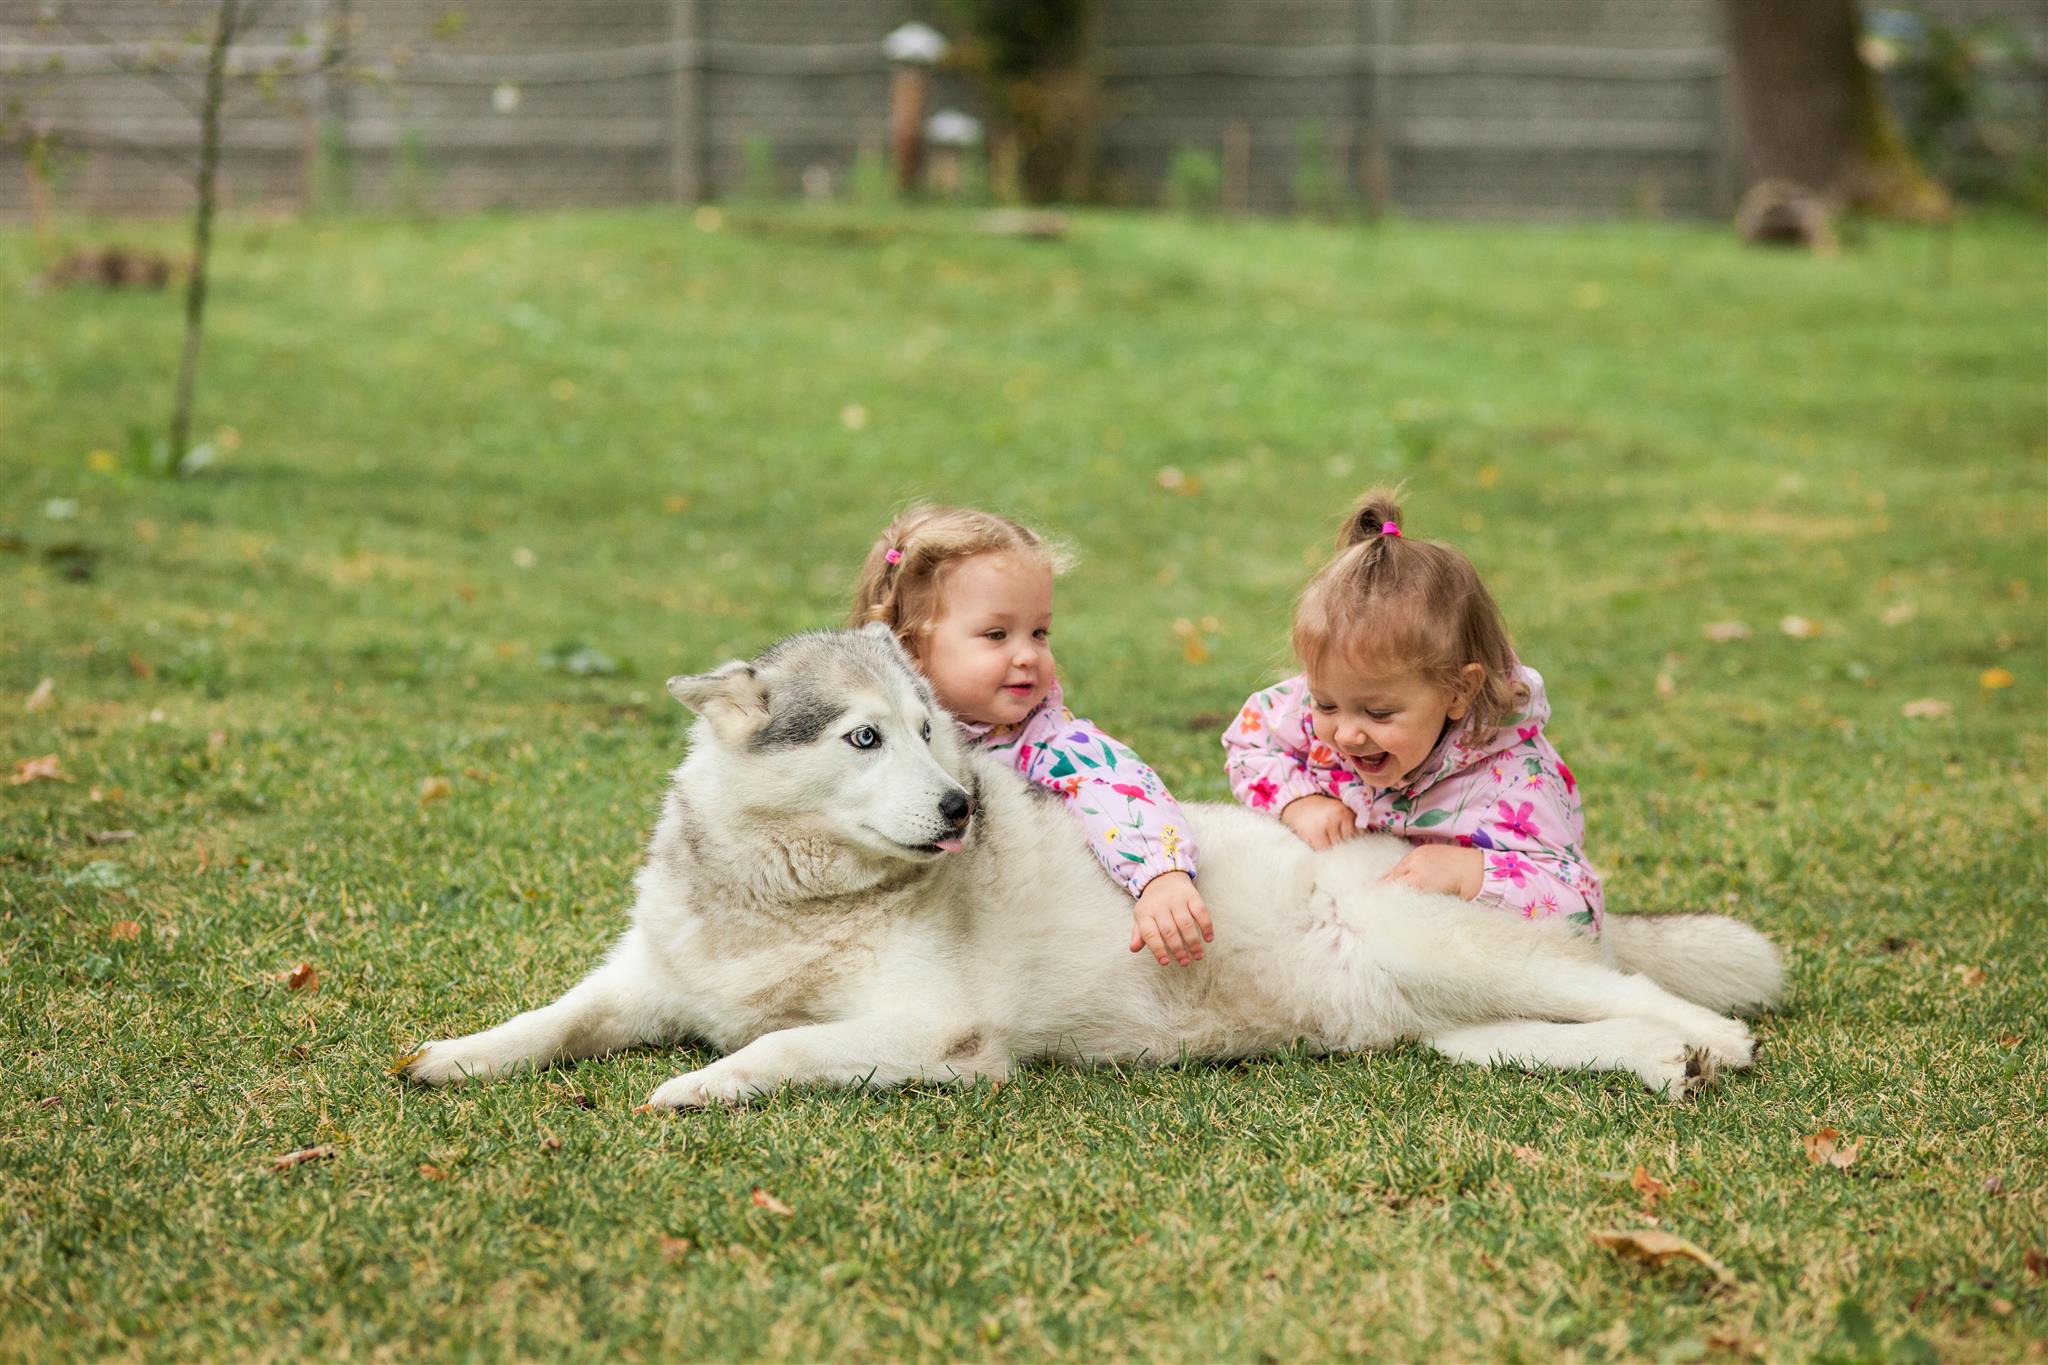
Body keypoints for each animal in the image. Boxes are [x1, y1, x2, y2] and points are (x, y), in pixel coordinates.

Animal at [399, 626, 1777, 1105]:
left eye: (935, 732)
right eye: (864, 737)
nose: (963, 806)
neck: (783, 902)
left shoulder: (933, 1036)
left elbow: (776, 1051)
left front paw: (698, 1085)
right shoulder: (639, 983)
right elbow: (552, 1021)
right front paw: (456, 1055)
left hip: (1444, 942)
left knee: (1644, 990)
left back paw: (1713, 1040)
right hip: (1450, 1024)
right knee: (1582, 1030)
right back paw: (1663, 1065)